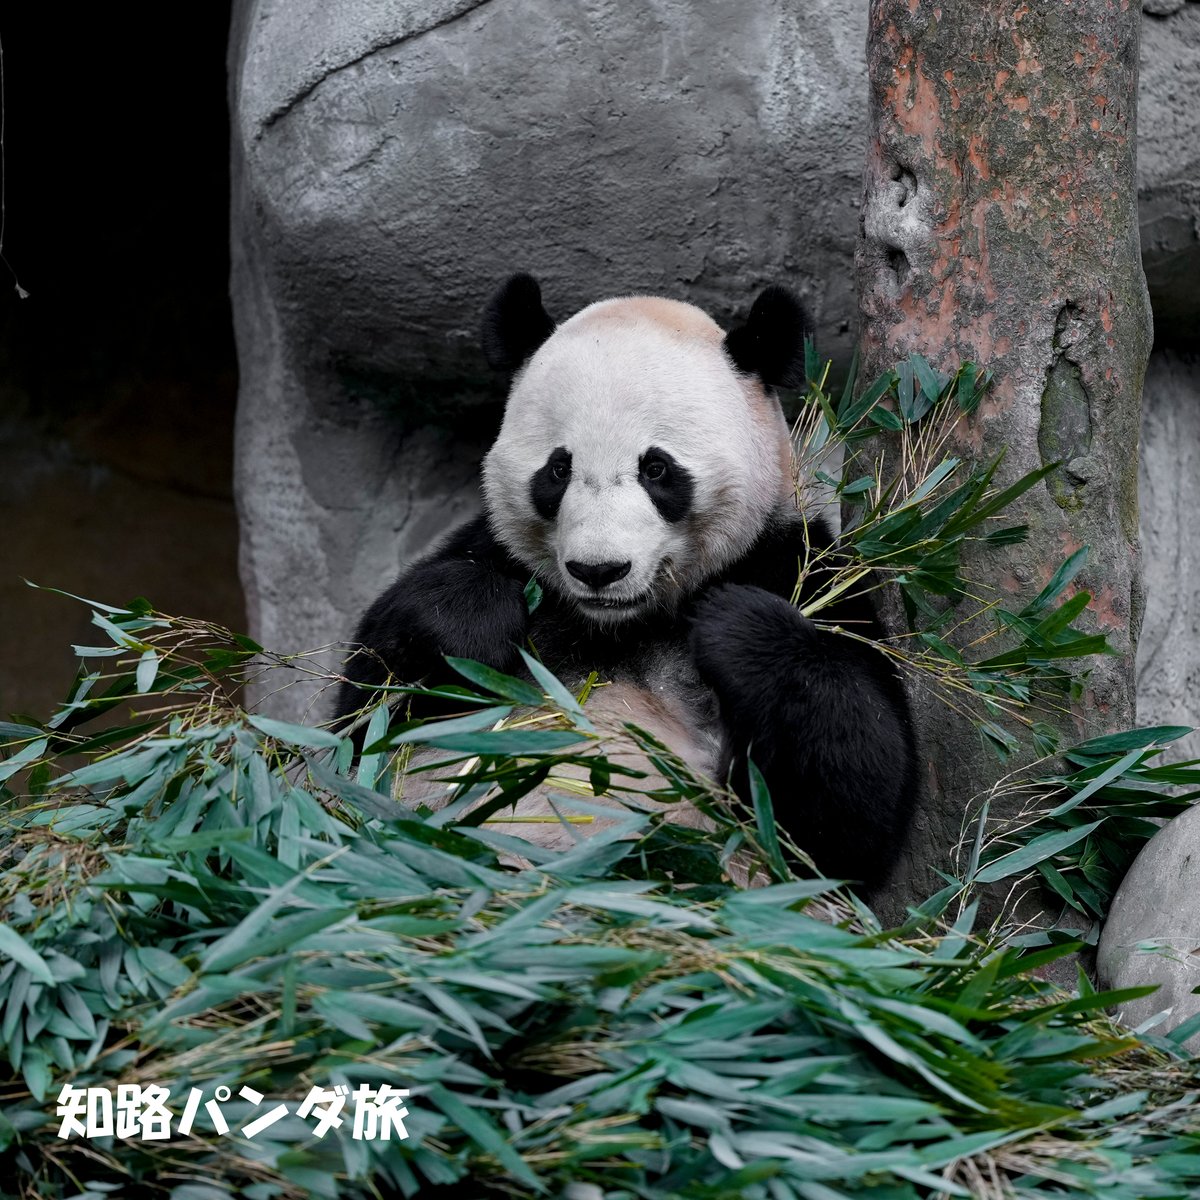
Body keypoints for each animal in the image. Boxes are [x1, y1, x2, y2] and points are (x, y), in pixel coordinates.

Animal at [334, 274, 917, 894]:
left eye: (656, 469)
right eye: (558, 469)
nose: (598, 570)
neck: (620, 624)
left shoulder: (795, 566)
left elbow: (848, 815)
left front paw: (738, 628)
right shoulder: (495, 556)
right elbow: (360, 728)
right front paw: (473, 619)